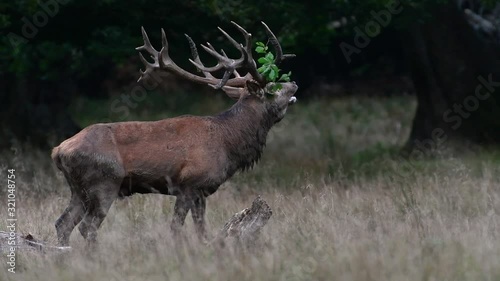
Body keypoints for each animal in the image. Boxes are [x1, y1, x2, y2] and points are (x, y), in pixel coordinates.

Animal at [51, 21, 296, 245]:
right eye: (272, 89)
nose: (293, 84)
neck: (228, 143)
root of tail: (58, 150)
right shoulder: (189, 184)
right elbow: (176, 227)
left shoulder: (201, 191)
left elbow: (201, 229)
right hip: (104, 181)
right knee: (87, 227)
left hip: (79, 189)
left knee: (63, 223)